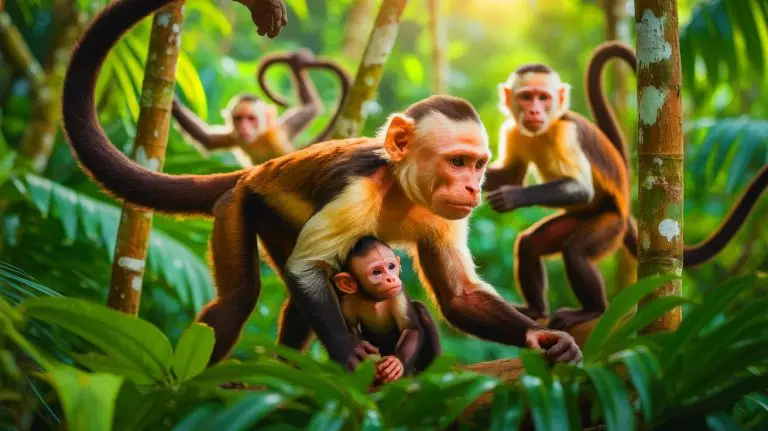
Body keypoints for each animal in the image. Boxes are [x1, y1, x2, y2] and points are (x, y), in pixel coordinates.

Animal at [332, 235, 441, 383]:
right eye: (376, 272)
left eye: (391, 267)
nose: (391, 278)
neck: (373, 300)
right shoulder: (348, 301)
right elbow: (351, 327)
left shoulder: (398, 294)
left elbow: (411, 328)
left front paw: (397, 362)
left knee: (420, 307)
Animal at [483, 41, 768, 331]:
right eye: (526, 97)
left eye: (543, 97)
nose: (534, 111)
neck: (545, 129)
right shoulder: (513, 130)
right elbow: (510, 174)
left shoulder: (567, 134)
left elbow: (580, 190)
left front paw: (514, 196)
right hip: (581, 217)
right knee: (531, 244)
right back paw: (536, 309)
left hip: (611, 223)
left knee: (575, 250)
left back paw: (593, 309)